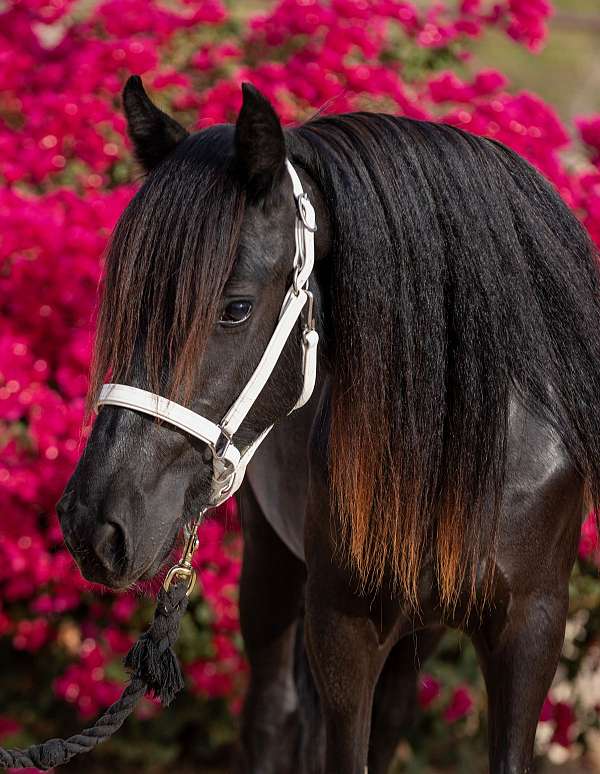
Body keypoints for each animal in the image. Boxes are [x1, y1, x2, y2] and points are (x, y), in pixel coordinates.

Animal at [56, 75, 600, 774]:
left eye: (235, 308)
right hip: (271, 572)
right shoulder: (340, 628)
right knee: (272, 715)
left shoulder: (532, 630)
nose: (92, 527)